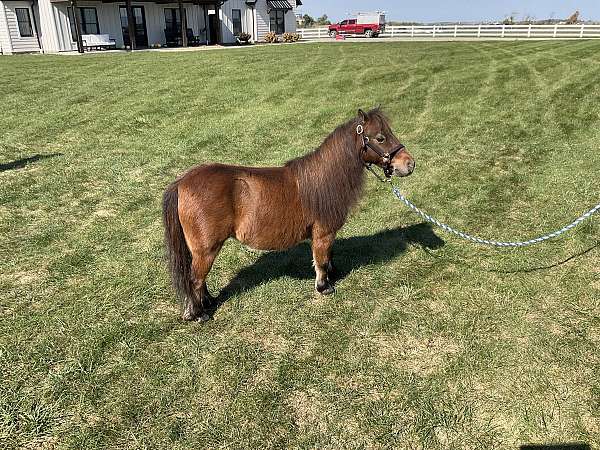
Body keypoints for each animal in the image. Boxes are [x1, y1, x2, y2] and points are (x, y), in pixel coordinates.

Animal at [164, 108, 418, 320]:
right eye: (380, 138)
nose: (409, 164)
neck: (324, 179)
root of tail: (181, 182)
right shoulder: (323, 233)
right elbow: (321, 260)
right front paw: (324, 287)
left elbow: (328, 256)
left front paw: (332, 275)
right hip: (207, 249)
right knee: (195, 279)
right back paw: (199, 314)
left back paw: (207, 302)